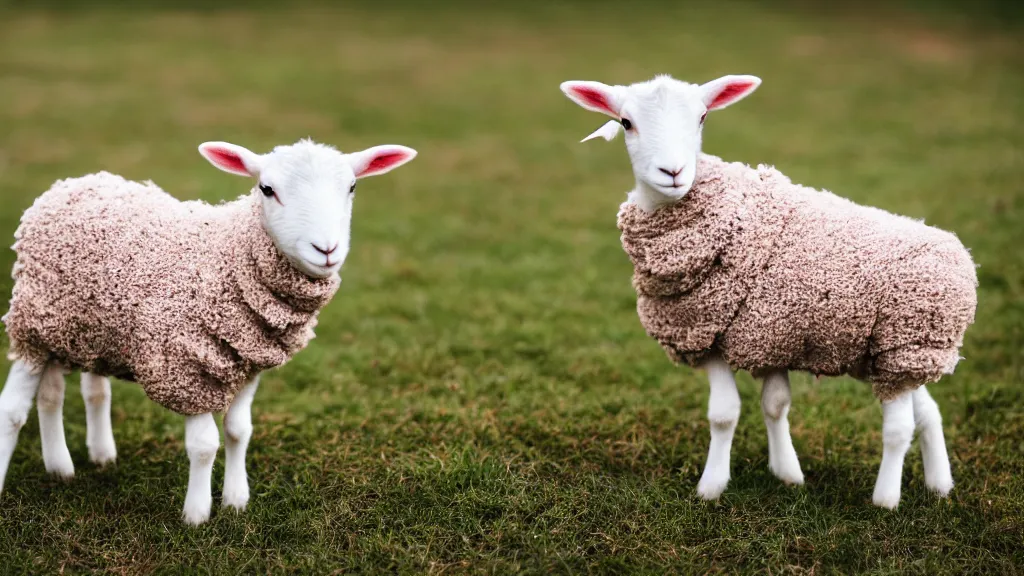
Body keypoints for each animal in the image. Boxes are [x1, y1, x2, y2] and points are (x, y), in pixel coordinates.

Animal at [1, 136, 415, 522]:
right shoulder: (187, 368)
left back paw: (75, 463)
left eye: (352, 187)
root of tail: (73, 182)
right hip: (34, 323)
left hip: (86, 331)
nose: (326, 249)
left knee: (68, 393)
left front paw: (236, 501)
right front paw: (197, 515)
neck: (226, 255)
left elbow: (238, 431)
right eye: (267, 188)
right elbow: (204, 444)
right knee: (14, 409)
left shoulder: (248, 363)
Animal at [561, 72, 974, 506]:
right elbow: (774, 405)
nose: (672, 171)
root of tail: (962, 260)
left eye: (702, 117)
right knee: (928, 412)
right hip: (897, 355)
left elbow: (724, 414)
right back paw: (940, 485)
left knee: (899, 427)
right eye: (626, 123)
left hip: (905, 347)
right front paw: (787, 473)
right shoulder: (764, 332)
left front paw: (711, 487)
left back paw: (886, 499)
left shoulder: (712, 333)